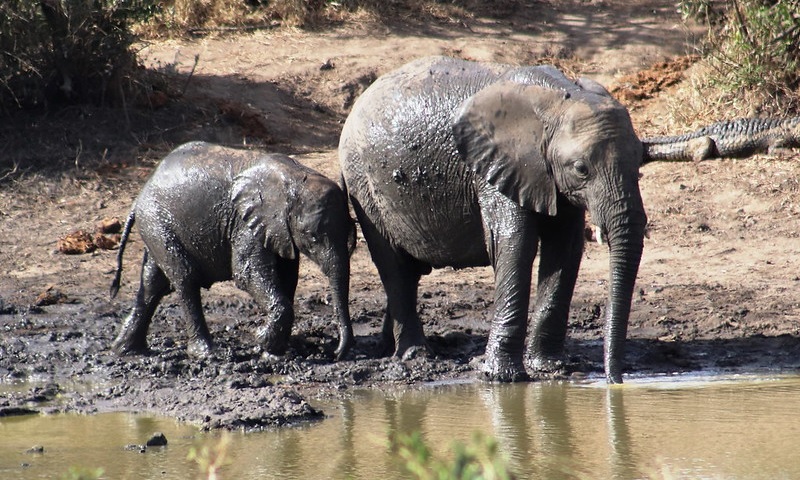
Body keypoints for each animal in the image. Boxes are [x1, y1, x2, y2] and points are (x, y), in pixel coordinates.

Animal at [110, 142, 356, 360]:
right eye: (311, 236)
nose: (334, 353)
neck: (295, 177)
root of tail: (139, 196)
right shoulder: (246, 223)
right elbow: (246, 274)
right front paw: (261, 339)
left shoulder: (279, 231)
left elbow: (287, 278)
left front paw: (274, 352)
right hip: (157, 221)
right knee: (185, 279)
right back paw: (207, 353)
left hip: (154, 227)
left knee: (153, 283)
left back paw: (128, 351)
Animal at [340, 56, 648, 384]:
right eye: (581, 169)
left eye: (639, 162)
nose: (615, 382)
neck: (556, 98)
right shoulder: (496, 167)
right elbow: (516, 244)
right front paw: (503, 377)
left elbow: (566, 248)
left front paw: (550, 367)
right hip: (364, 183)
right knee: (392, 264)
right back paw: (415, 355)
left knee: (407, 272)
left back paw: (391, 349)